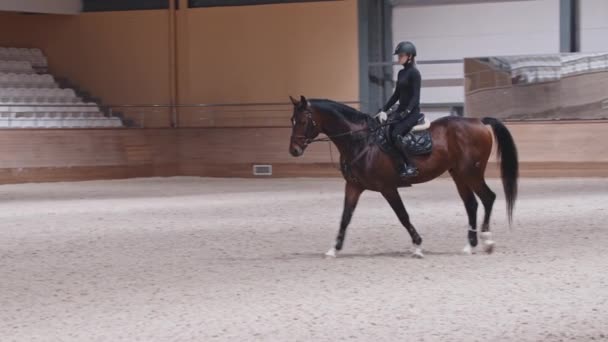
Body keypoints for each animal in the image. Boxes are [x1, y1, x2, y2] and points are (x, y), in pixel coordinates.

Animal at [286, 95, 516, 258]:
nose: (294, 150)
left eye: (304, 120)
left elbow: (403, 216)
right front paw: (334, 249)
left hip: (471, 173)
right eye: (292, 120)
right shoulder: (353, 186)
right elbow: (345, 217)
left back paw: (487, 241)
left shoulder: (387, 187)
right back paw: (470, 245)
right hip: (459, 174)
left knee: (488, 198)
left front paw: (418, 246)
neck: (361, 140)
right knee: (471, 204)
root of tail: (479, 121)